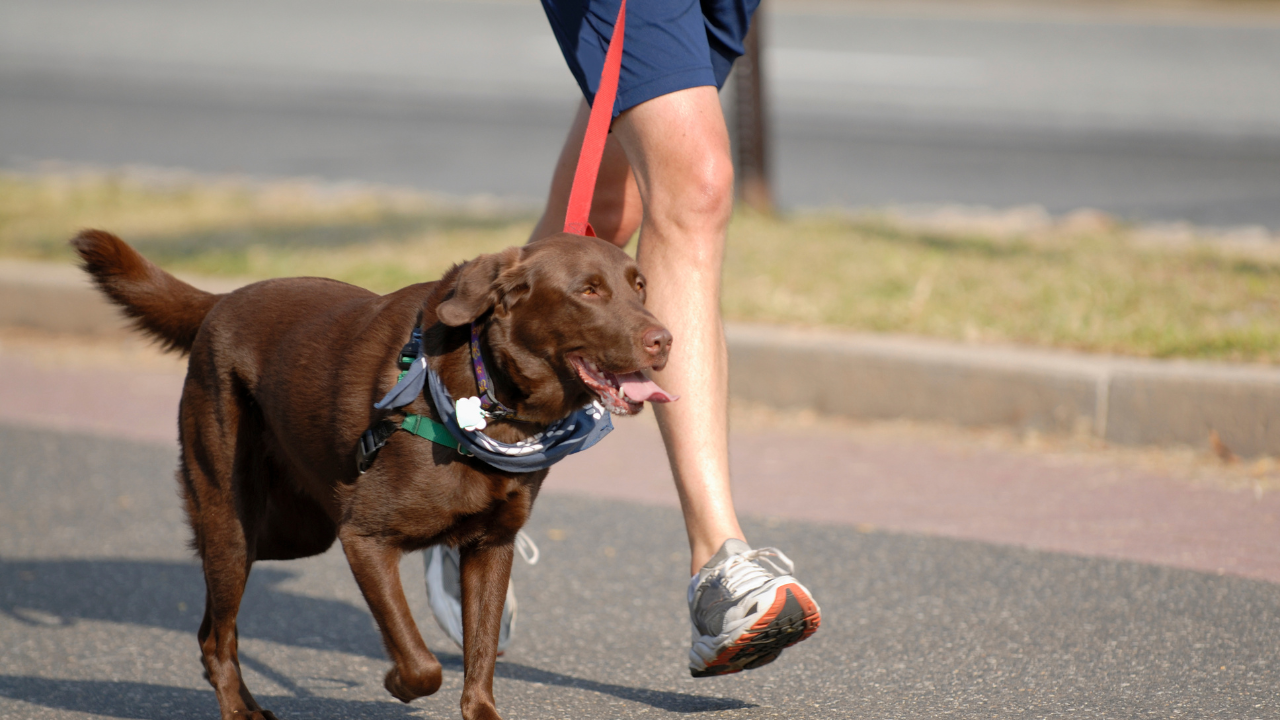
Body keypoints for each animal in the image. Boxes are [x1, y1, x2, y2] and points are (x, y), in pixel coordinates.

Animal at [71, 229, 675, 717]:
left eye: (639, 286)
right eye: (588, 291)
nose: (664, 340)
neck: (489, 397)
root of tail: (222, 300)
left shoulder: (491, 547)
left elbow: (479, 657)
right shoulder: (364, 537)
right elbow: (420, 660)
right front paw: (396, 683)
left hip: (294, 531)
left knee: (213, 627)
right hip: (233, 516)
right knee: (218, 634)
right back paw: (239, 712)